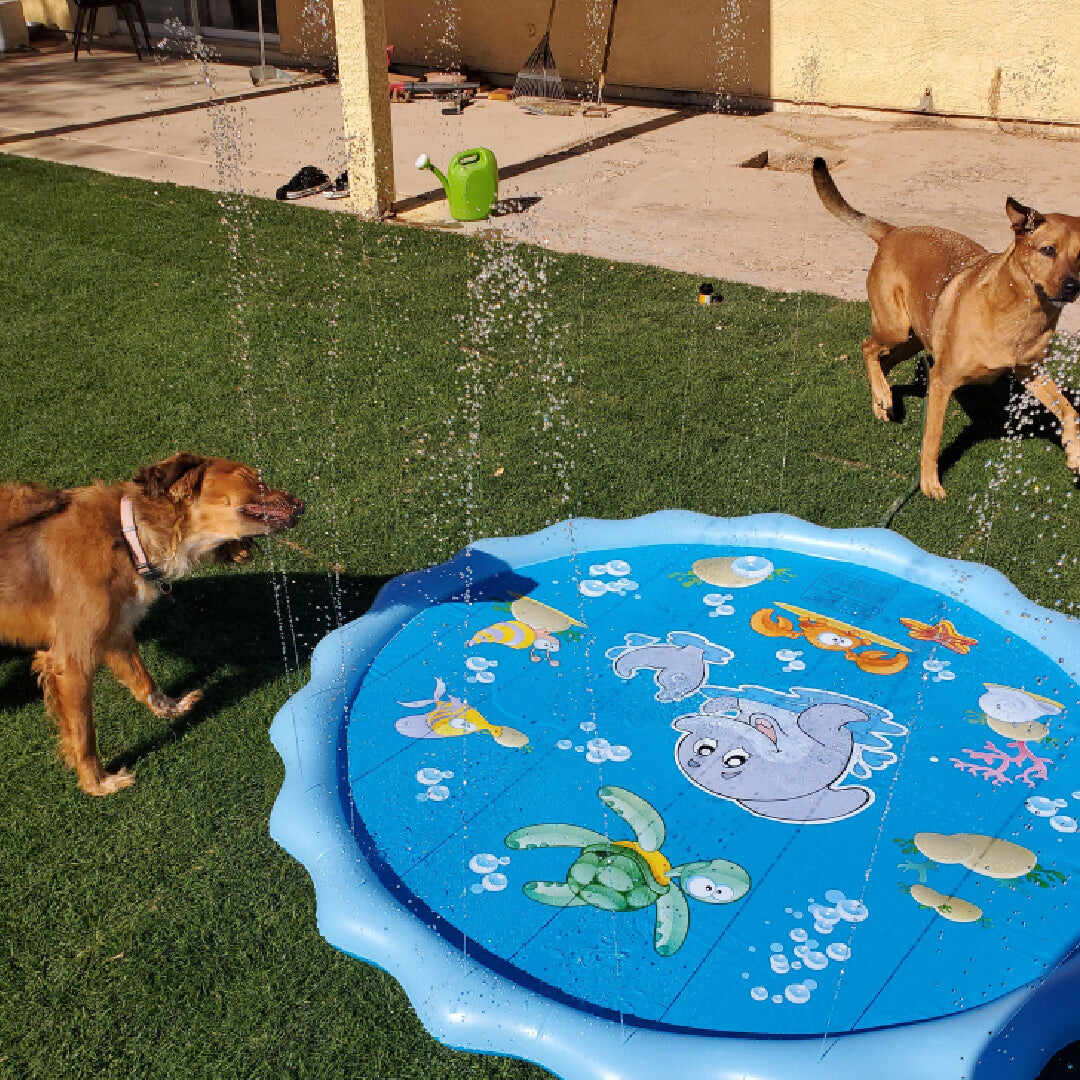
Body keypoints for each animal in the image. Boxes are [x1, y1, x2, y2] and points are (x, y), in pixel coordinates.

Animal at [1, 451, 304, 799]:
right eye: (250, 477)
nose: (302, 504)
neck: (126, 535)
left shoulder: (117, 632)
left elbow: (142, 679)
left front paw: (171, 708)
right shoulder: (71, 661)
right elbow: (83, 733)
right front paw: (96, 782)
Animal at [812, 155, 1075, 496]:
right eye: (1047, 250)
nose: (1073, 287)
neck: (1019, 312)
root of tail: (894, 232)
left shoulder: (1030, 371)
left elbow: (1070, 411)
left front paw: (1074, 452)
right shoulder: (942, 380)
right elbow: (932, 439)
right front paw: (929, 484)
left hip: (914, 337)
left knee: (883, 359)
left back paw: (882, 400)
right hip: (895, 327)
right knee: (867, 347)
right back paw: (882, 395)